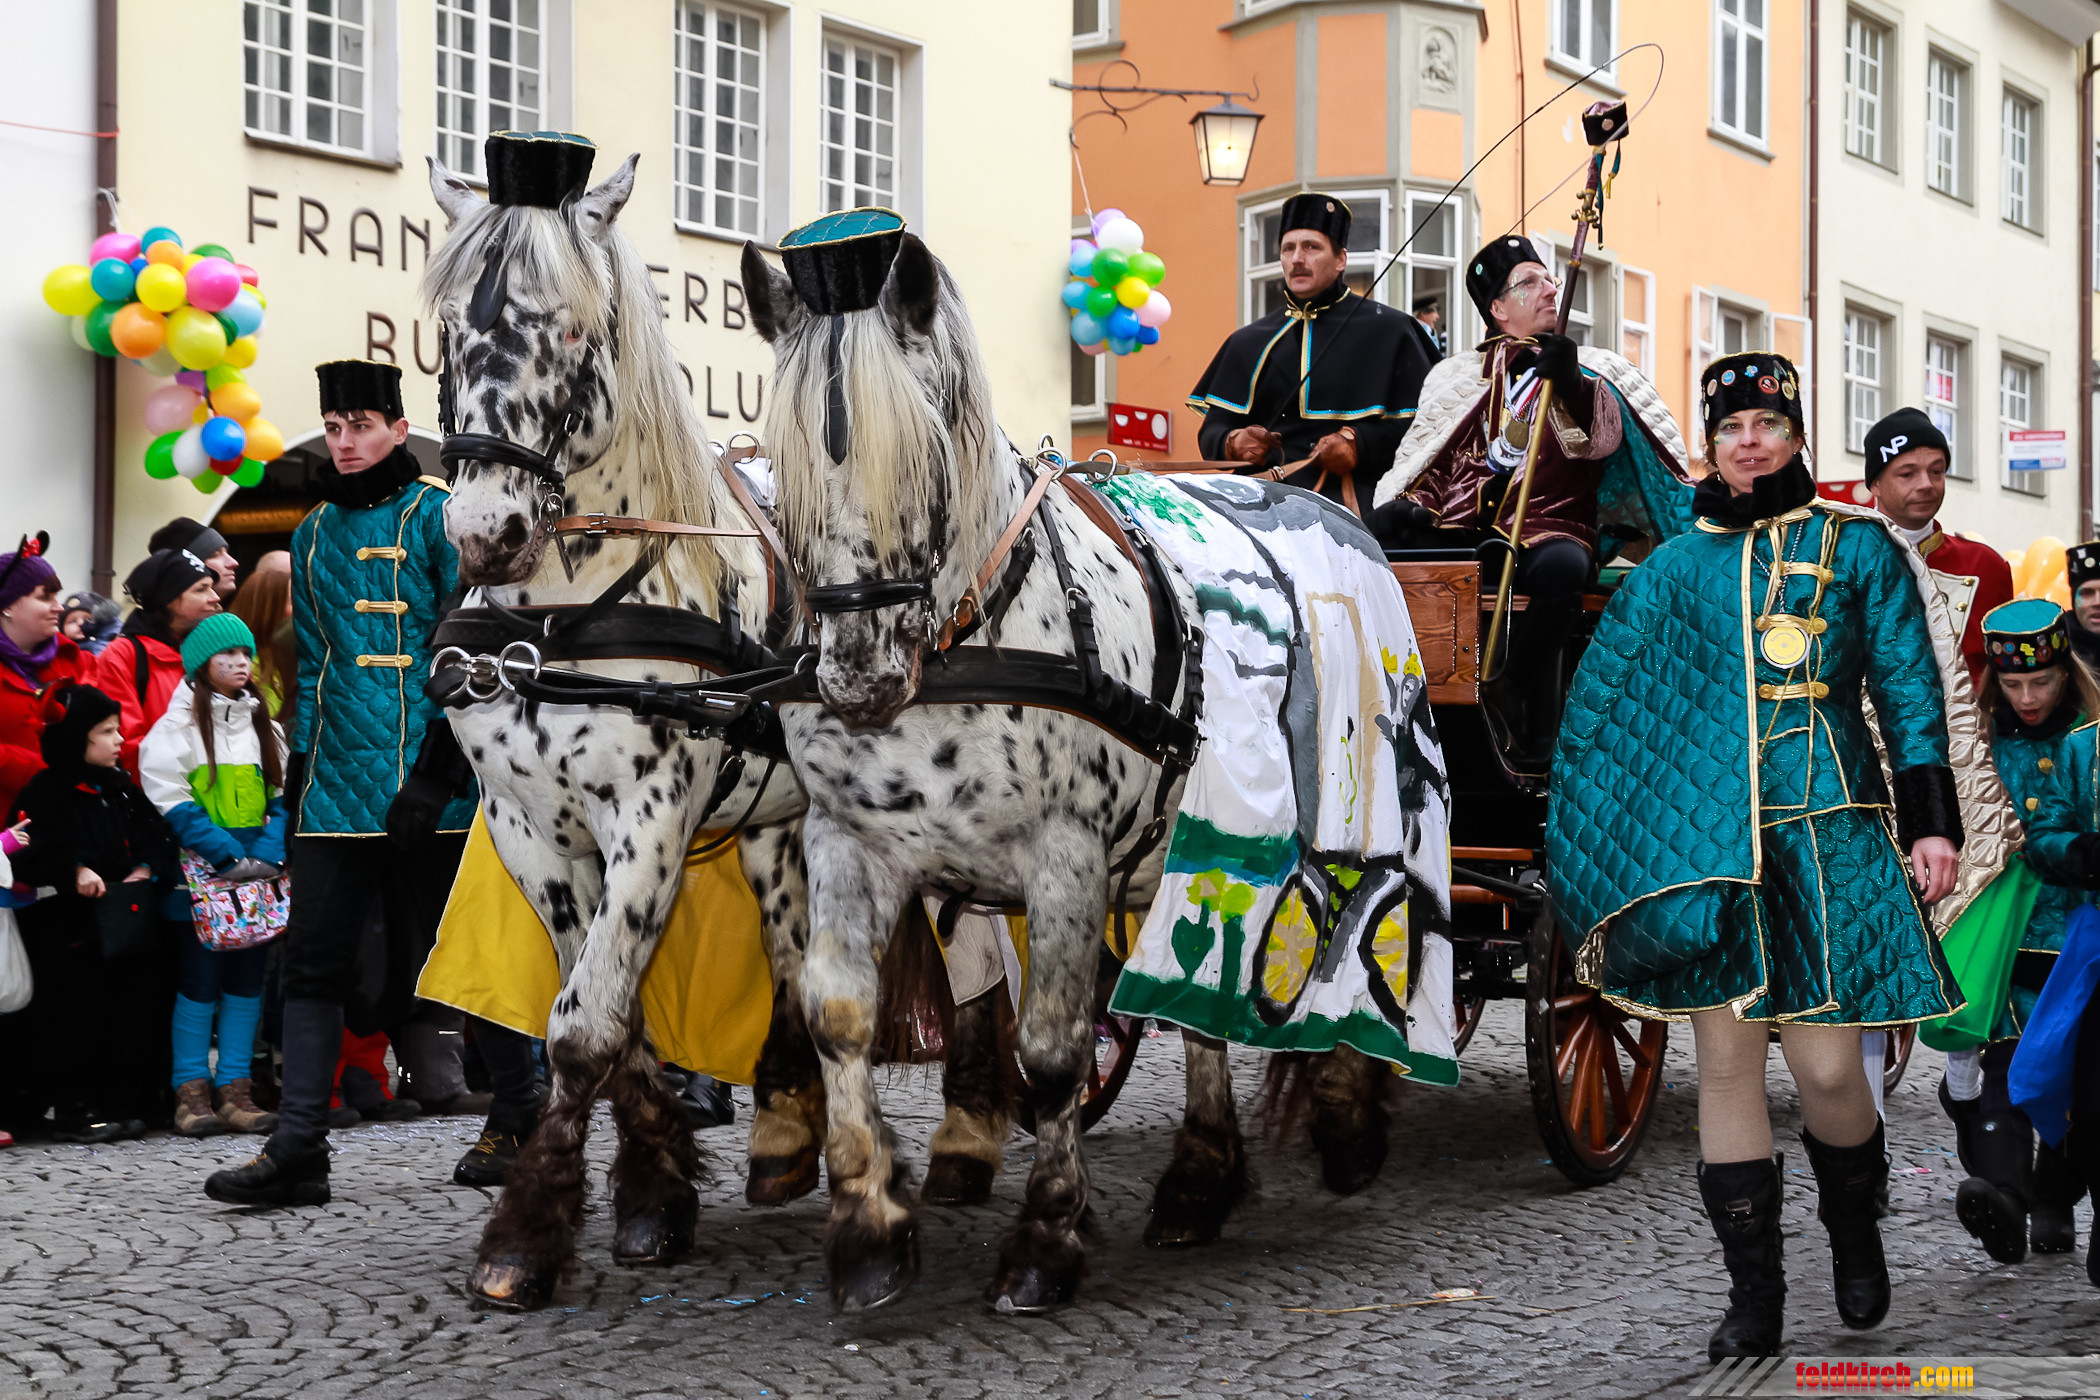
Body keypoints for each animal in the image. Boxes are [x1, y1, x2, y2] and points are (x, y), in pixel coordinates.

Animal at [419, 155, 1038, 1311]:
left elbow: (584, 1023)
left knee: (976, 960)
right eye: (446, 328)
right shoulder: (533, 832)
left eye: (574, 329)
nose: (487, 531)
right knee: (796, 951)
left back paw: (966, 1138)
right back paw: (796, 1129)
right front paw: (655, 1187)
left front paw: (528, 1233)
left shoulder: (651, 816)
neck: (562, 617)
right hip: (775, 820)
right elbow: (608, 1013)